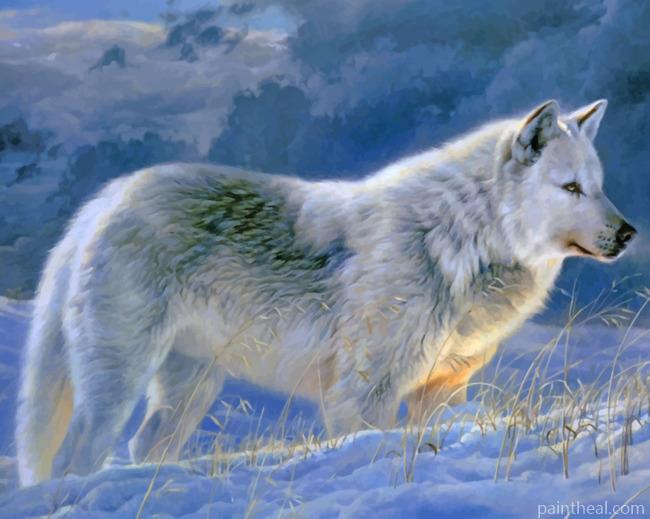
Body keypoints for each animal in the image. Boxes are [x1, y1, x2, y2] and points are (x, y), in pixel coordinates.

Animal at [16, 99, 636, 485]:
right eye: (570, 188)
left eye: (600, 187)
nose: (629, 233)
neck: (462, 240)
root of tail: (106, 198)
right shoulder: (362, 394)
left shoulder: (444, 390)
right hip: (118, 380)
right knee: (76, 457)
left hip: (190, 388)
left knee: (144, 449)